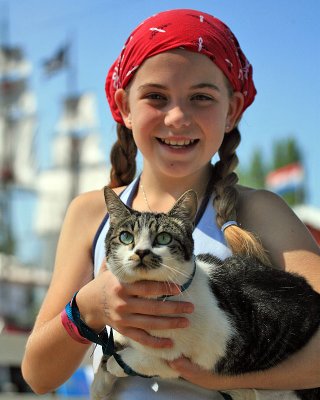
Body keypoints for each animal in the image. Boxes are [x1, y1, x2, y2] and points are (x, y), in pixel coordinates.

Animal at [90, 188, 320, 400]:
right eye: (126, 237)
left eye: (163, 238)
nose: (141, 252)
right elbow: (113, 343)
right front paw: (99, 384)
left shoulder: (208, 352)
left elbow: (146, 359)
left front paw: (115, 364)